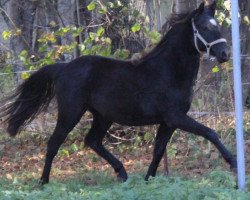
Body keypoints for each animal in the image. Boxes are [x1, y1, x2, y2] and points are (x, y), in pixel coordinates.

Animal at [0, 2, 236, 184]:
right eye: (204, 26)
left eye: (217, 26)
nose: (225, 54)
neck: (167, 70)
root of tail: (63, 68)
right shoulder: (175, 117)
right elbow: (210, 133)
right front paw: (233, 163)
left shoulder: (168, 122)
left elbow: (158, 150)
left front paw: (148, 180)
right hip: (70, 113)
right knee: (54, 143)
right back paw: (43, 182)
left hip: (103, 116)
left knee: (92, 141)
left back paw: (122, 172)